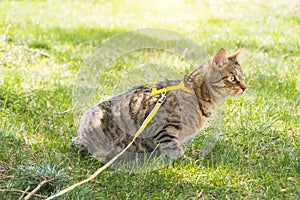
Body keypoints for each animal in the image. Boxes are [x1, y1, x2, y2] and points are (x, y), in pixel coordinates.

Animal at [72, 48, 246, 162]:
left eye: (243, 77)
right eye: (232, 78)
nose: (245, 87)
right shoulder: (163, 128)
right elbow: (175, 148)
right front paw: (184, 161)